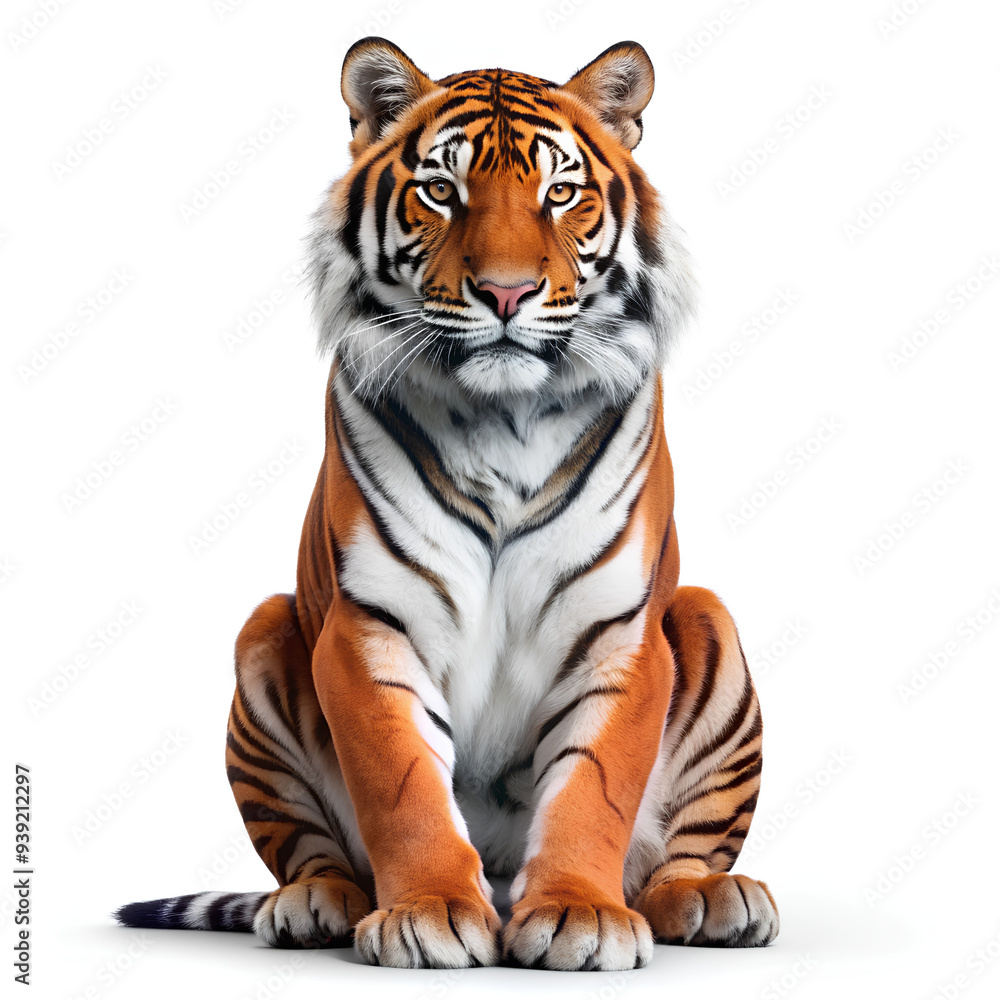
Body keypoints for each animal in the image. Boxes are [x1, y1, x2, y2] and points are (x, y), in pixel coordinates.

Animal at [115, 37, 779, 971]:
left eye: (559, 193)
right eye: (441, 191)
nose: (505, 294)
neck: (506, 419)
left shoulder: (616, 632)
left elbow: (595, 785)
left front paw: (579, 912)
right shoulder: (372, 625)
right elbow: (402, 784)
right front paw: (428, 911)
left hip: (707, 617)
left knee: (681, 854)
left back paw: (713, 897)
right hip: (267, 632)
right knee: (308, 850)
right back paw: (315, 902)